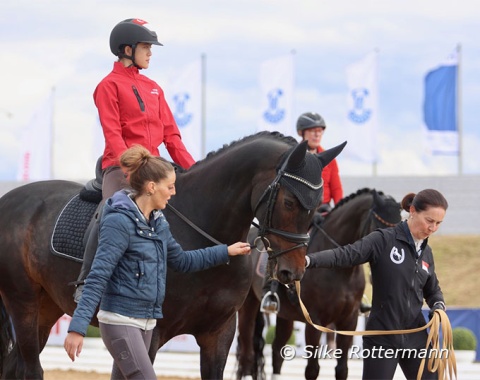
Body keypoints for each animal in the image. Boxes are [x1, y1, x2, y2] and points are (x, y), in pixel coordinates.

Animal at [0, 131, 344, 380]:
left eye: (317, 204)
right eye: (289, 202)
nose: (292, 272)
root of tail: (9, 199)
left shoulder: (219, 333)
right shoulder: (147, 331)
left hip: (46, 307)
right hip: (23, 304)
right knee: (30, 369)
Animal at [236, 188, 402, 380]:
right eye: (379, 227)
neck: (341, 269)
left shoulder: (349, 321)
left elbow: (342, 369)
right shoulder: (314, 321)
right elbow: (312, 369)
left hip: (285, 316)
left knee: (277, 350)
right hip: (249, 306)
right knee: (247, 352)